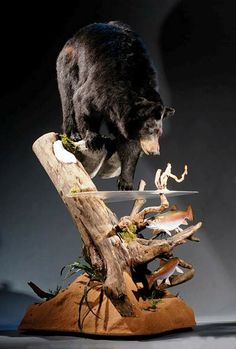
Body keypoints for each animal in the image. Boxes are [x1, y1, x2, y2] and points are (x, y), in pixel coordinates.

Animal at [56, 20, 175, 189]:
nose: (155, 151)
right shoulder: (100, 86)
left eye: (159, 132)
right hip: (69, 63)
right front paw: (93, 139)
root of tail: (76, 34)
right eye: (150, 130)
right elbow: (82, 103)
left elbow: (130, 144)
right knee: (68, 96)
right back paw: (73, 133)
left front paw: (125, 181)